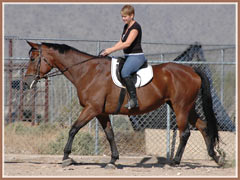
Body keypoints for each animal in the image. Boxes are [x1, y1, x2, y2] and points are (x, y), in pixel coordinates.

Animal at [23, 41, 224, 168]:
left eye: (33, 59)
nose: (26, 82)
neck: (88, 71)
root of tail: (192, 70)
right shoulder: (101, 112)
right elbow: (110, 134)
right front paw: (113, 160)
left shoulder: (91, 109)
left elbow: (73, 129)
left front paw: (66, 157)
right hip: (185, 107)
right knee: (203, 126)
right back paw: (215, 157)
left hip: (180, 106)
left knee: (185, 132)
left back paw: (175, 162)